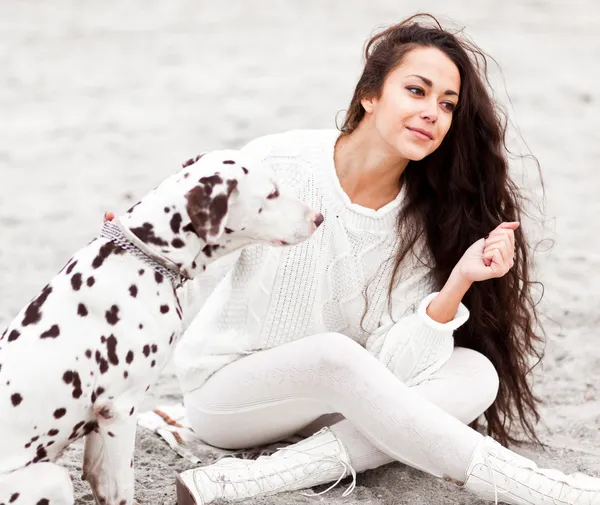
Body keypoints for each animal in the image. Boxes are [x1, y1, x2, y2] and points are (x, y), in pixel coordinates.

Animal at [0, 151, 324, 504]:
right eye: (272, 193)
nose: (320, 217)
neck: (143, 260)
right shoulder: (120, 411)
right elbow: (123, 489)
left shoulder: (100, 424)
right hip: (54, 479)